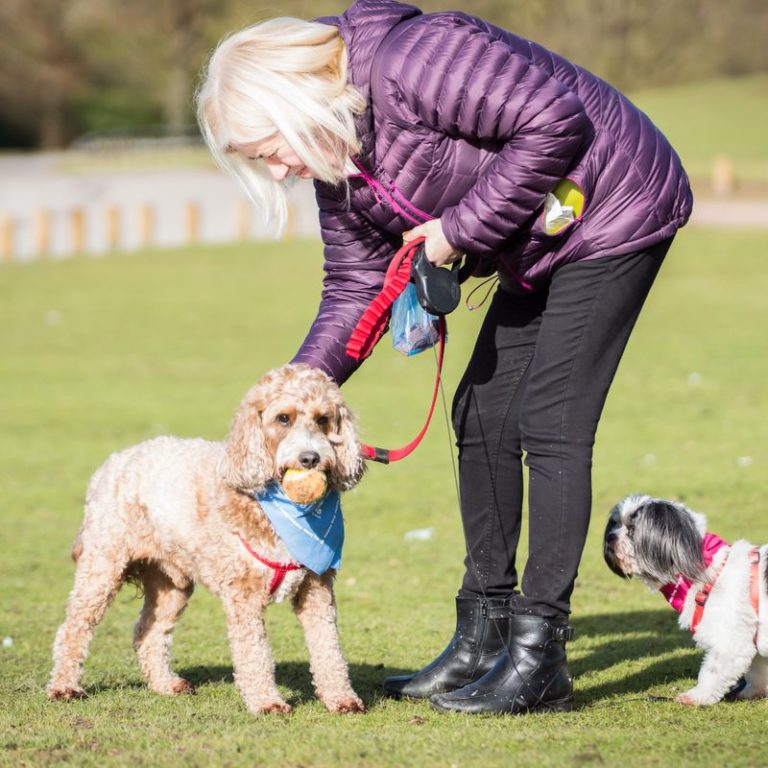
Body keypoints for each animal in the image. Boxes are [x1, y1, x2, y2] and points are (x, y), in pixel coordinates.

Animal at [48, 364, 366, 712]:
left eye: (323, 418)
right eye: (283, 418)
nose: (310, 458)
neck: (278, 509)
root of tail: (116, 460)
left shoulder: (316, 586)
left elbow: (328, 647)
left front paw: (341, 697)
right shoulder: (244, 595)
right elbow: (254, 653)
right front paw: (266, 702)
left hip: (170, 582)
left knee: (148, 631)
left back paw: (166, 684)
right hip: (103, 566)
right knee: (74, 628)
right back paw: (64, 686)